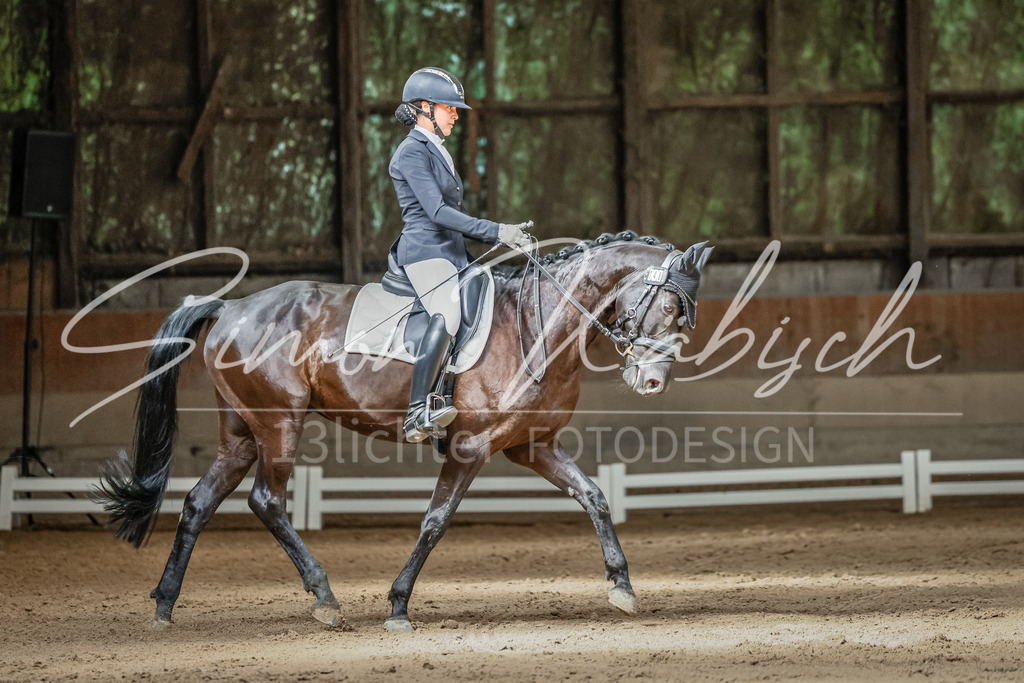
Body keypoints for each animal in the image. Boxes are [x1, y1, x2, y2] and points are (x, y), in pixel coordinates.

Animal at [97, 231, 712, 632]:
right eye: (668, 307)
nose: (652, 381)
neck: (535, 327)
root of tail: (230, 308)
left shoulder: (533, 447)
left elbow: (594, 496)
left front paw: (622, 587)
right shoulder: (470, 448)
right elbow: (436, 520)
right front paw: (397, 605)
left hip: (243, 434)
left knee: (200, 502)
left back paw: (164, 604)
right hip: (278, 424)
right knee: (267, 501)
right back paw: (325, 598)